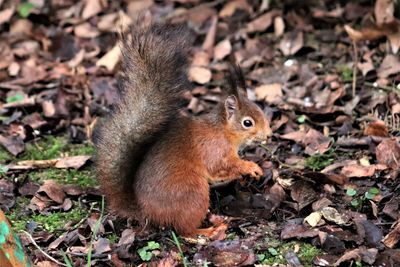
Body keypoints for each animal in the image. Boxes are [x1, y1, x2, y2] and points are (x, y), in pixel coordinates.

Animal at [94, 22, 272, 238]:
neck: (223, 131)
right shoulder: (213, 149)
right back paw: (209, 230)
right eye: (247, 123)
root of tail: (147, 212)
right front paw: (250, 167)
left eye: (261, 110)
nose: (269, 134)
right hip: (192, 193)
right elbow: (220, 166)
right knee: (185, 230)